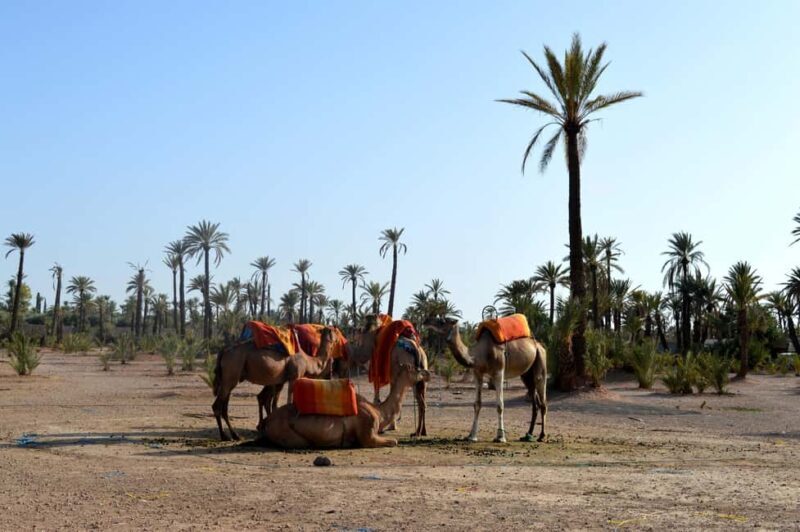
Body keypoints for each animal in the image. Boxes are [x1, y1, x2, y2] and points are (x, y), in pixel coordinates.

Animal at [260, 355, 430, 449]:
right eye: (417, 369)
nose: (428, 373)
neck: (379, 412)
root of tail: (267, 422)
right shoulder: (368, 435)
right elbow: (394, 441)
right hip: (290, 435)